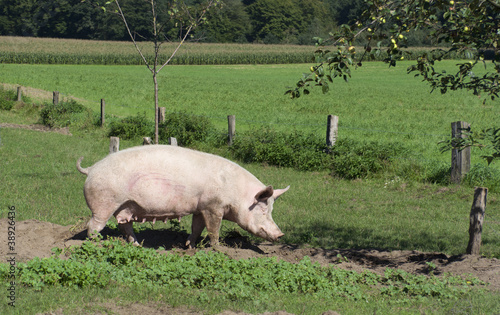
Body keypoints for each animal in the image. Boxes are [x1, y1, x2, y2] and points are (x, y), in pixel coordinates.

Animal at [76, 144, 292, 248]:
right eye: (263, 210)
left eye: (271, 209)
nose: (280, 234)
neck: (236, 193)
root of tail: (90, 169)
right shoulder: (213, 207)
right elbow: (214, 230)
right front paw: (218, 249)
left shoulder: (200, 208)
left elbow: (197, 228)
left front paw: (190, 246)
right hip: (104, 204)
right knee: (93, 226)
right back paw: (96, 245)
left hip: (125, 206)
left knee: (125, 225)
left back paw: (137, 246)